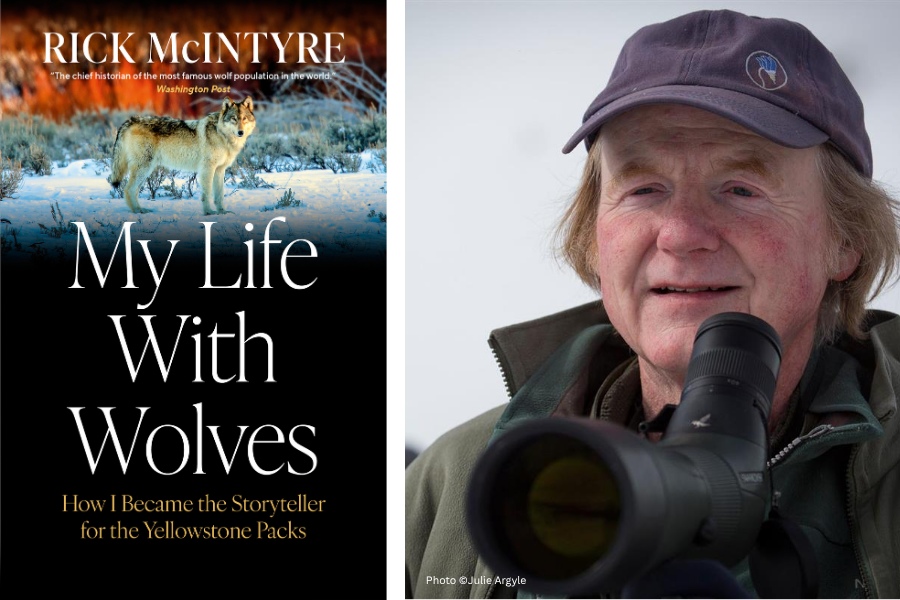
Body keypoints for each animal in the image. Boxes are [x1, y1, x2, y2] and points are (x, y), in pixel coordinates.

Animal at [110, 97, 256, 214]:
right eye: (233, 119)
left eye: (244, 118)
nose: (241, 132)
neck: (222, 135)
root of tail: (130, 120)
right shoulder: (207, 169)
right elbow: (207, 193)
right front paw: (209, 212)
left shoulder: (220, 170)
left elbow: (219, 195)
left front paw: (222, 212)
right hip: (144, 168)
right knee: (128, 189)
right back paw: (137, 211)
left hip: (146, 171)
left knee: (133, 191)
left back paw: (140, 209)